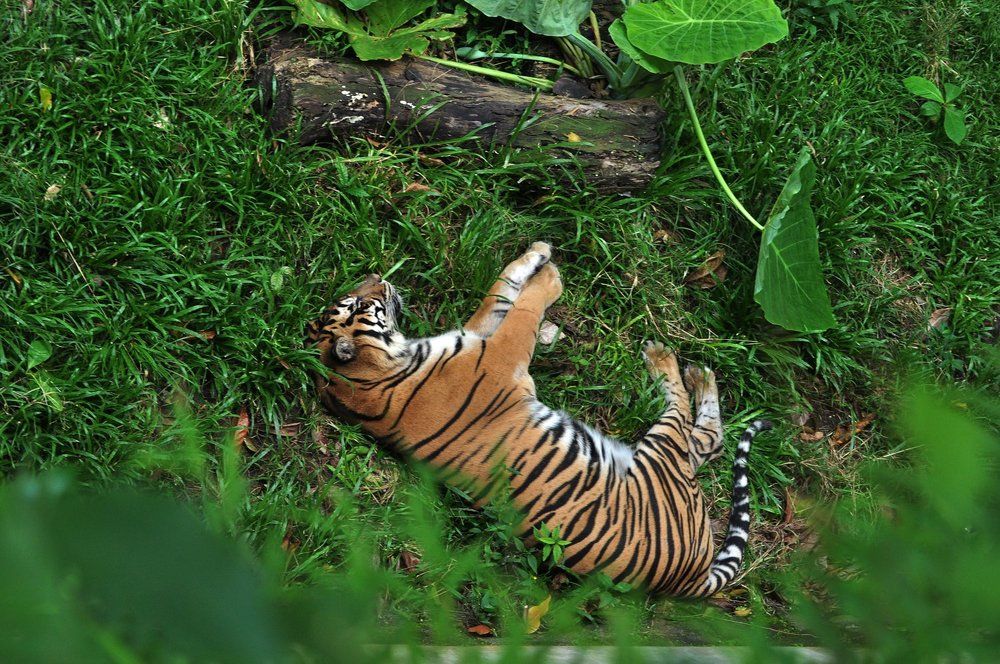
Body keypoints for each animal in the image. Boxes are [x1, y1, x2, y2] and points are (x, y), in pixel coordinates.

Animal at [307, 242, 771, 596]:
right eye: (358, 302)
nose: (378, 276)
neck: (380, 372)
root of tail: (689, 579)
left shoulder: (475, 335)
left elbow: (501, 294)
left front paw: (536, 254)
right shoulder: (500, 355)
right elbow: (524, 312)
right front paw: (550, 279)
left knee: (708, 441)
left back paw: (698, 373)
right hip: (662, 457)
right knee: (694, 426)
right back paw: (671, 361)